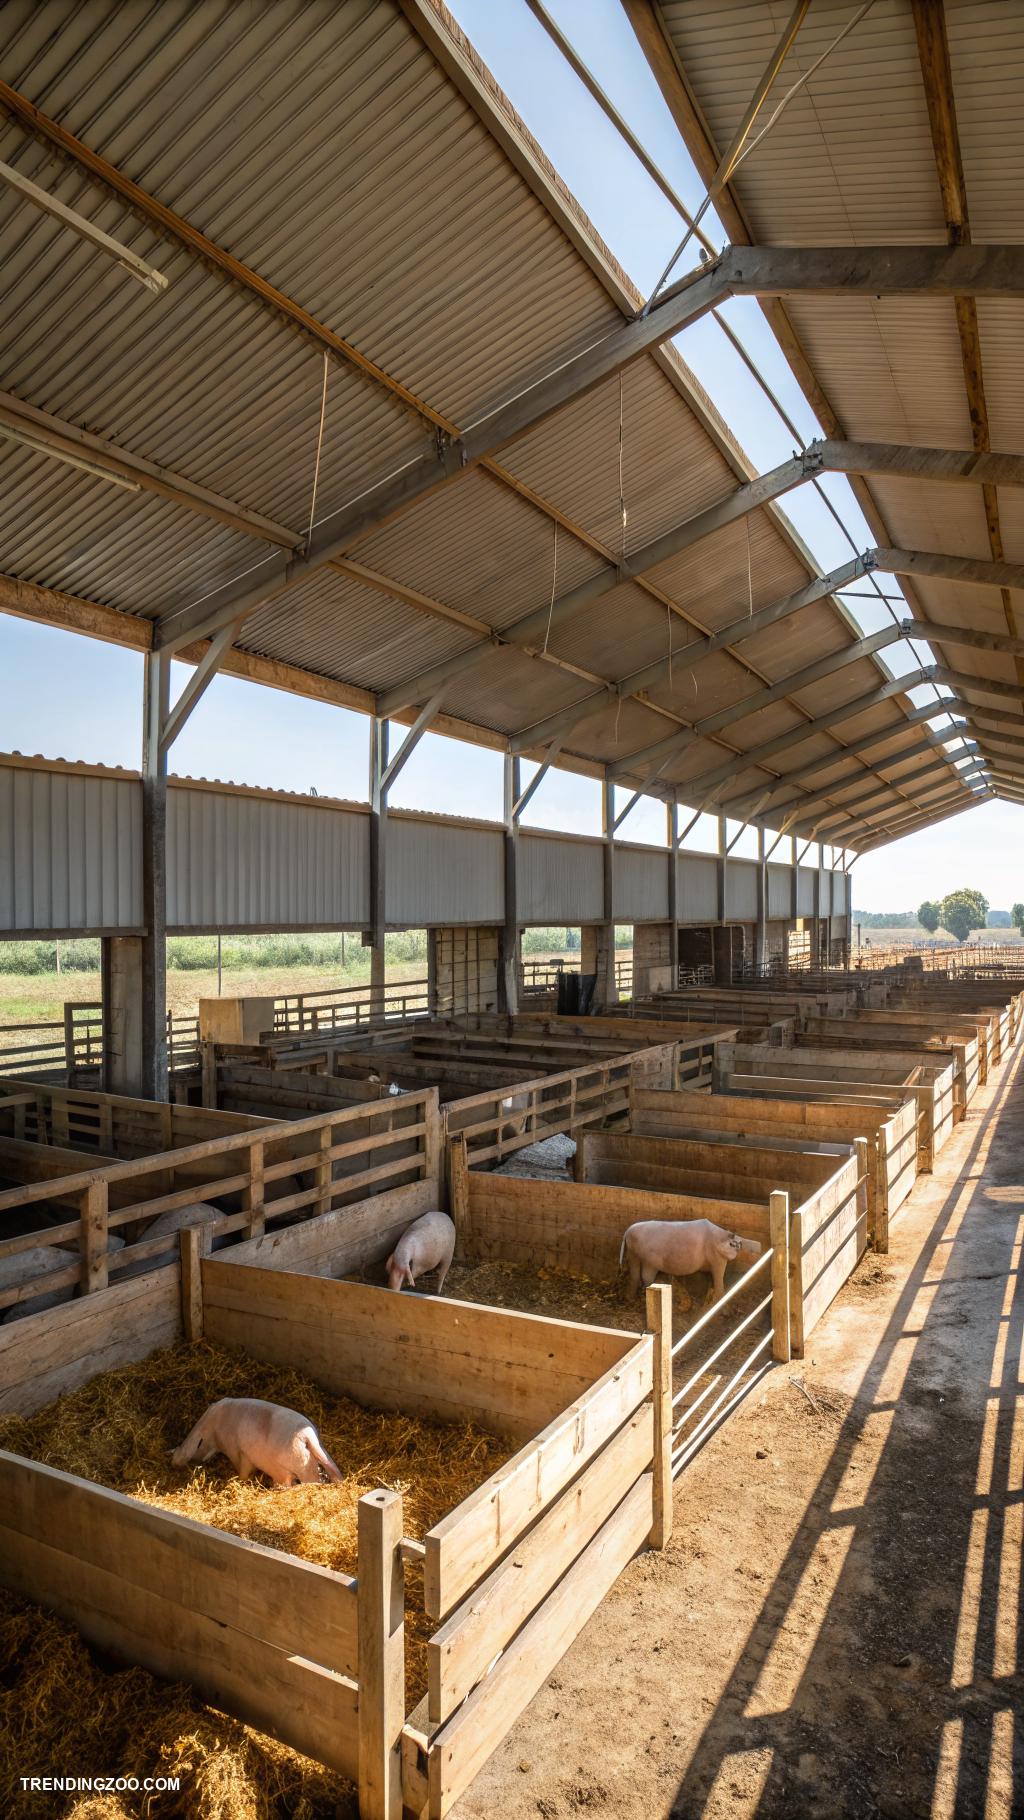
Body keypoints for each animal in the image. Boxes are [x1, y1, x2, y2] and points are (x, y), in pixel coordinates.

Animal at [170, 1397, 342, 1486]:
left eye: (199, 1445)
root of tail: (306, 1437)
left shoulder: (238, 1451)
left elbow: (244, 1471)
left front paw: (241, 1480)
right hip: (318, 1453)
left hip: (294, 1468)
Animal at [619, 1218, 761, 1304]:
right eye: (735, 1244)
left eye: (739, 1244)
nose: (759, 1246)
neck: (718, 1240)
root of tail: (628, 1231)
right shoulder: (717, 1259)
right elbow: (719, 1280)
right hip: (650, 1261)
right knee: (646, 1277)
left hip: (633, 1254)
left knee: (635, 1276)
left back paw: (629, 1298)